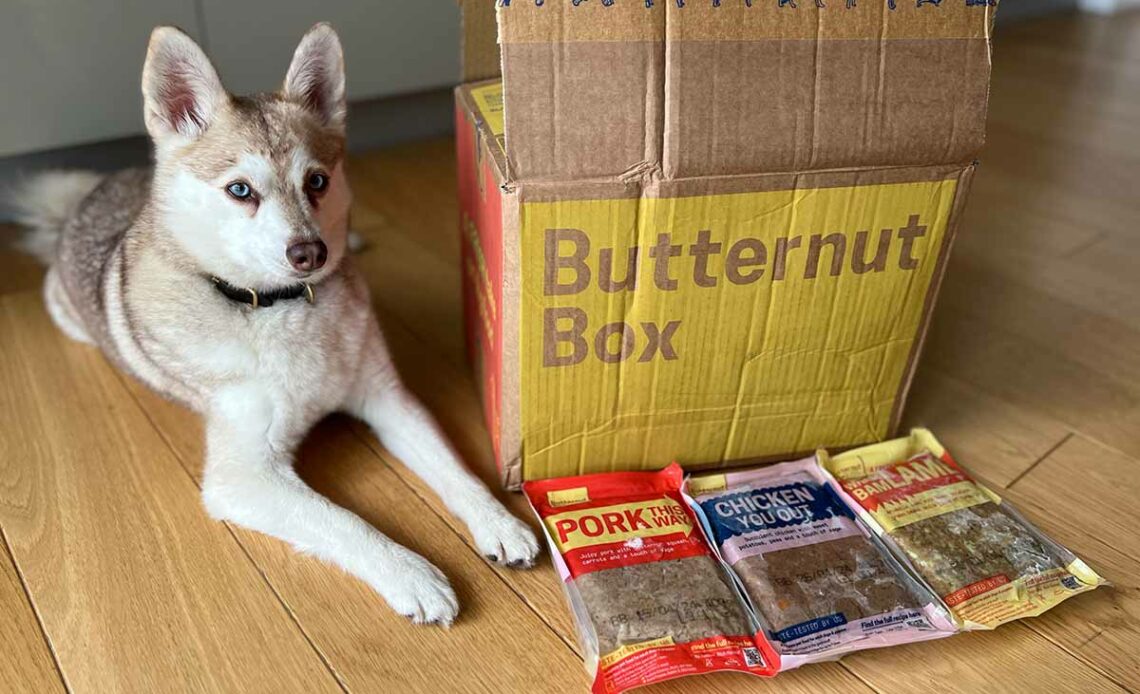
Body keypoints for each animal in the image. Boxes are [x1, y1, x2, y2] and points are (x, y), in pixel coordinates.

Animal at [11, 24, 538, 624]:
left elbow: (456, 471)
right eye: (240, 189)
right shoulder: (244, 476)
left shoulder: (389, 400)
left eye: (318, 181)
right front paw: (413, 574)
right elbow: (344, 520)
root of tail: (86, 195)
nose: (311, 252)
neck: (280, 306)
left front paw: (498, 521)